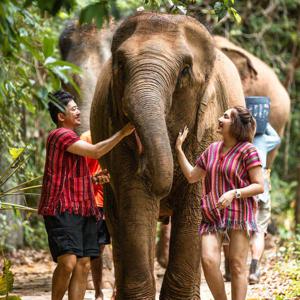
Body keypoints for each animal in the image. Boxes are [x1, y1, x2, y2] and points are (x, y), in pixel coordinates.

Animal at [89, 10, 244, 298]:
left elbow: (195, 201)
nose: (144, 161)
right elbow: (136, 201)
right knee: (117, 222)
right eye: (121, 64)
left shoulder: (209, 126)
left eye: (185, 70)